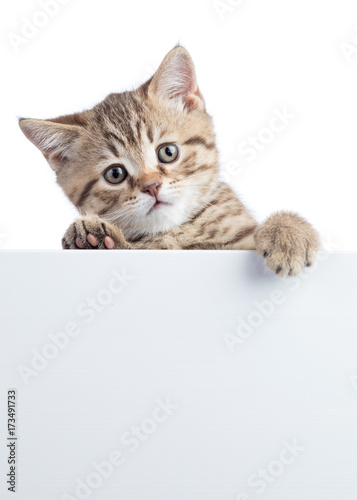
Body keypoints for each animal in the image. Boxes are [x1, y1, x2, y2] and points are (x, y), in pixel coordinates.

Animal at [18, 46, 320, 278]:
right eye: (115, 174)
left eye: (168, 152)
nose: (152, 186)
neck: (176, 233)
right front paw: (94, 238)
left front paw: (289, 233)